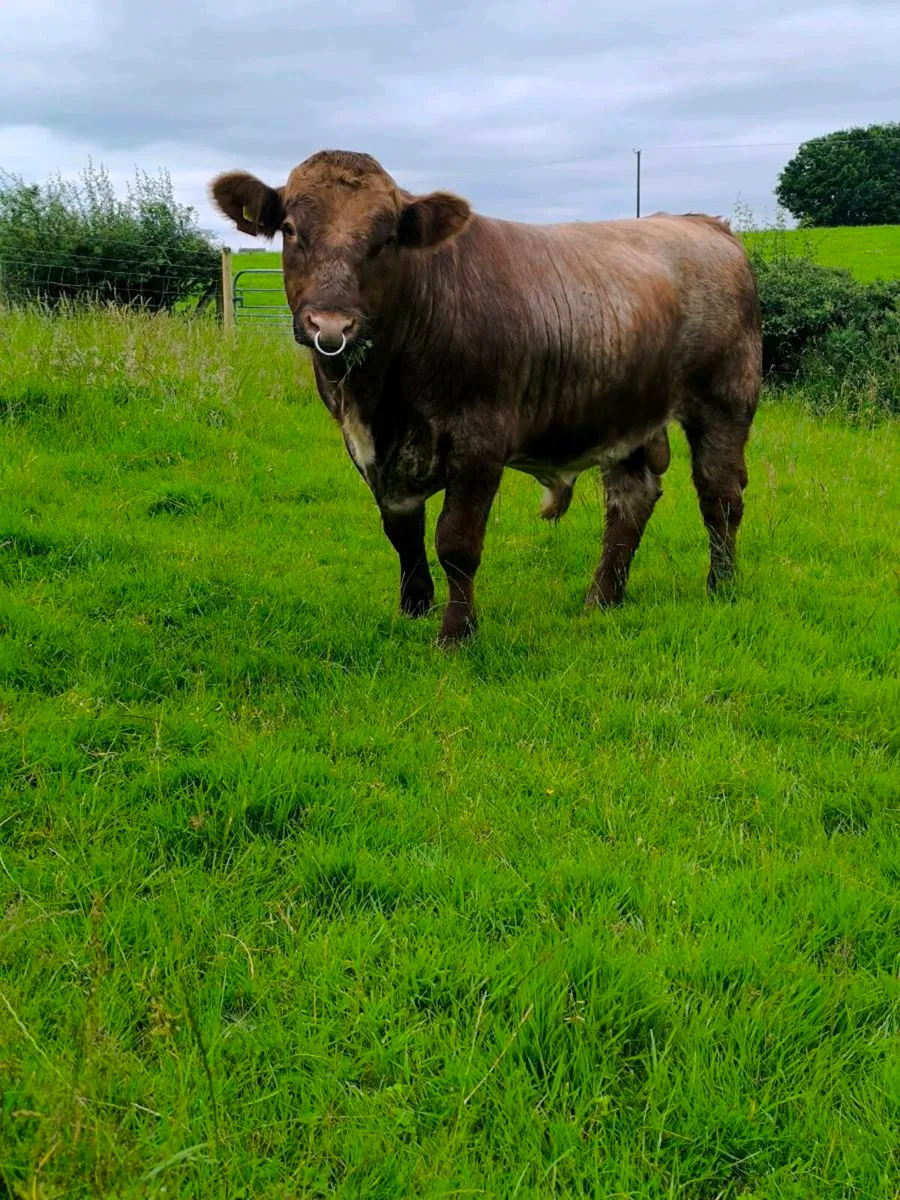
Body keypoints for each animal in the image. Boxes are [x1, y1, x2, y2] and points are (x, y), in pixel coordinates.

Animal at [211, 150, 761, 646]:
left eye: (387, 238)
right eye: (289, 229)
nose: (330, 324)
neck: (380, 396)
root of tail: (705, 225)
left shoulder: (479, 441)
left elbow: (456, 541)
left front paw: (456, 633)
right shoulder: (369, 450)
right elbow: (402, 532)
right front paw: (413, 610)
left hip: (725, 402)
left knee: (719, 497)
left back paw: (721, 588)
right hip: (624, 415)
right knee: (631, 500)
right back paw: (602, 599)